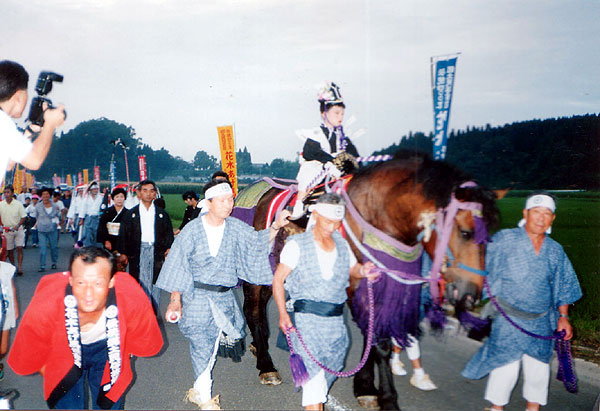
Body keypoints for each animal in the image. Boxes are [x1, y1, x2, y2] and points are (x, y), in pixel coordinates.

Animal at [232, 150, 500, 408]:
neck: (378, 216)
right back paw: (266, 366)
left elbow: (374, 338)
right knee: (253, 312)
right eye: (465, 232)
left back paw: (259, 348)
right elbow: (379, 342)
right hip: (254, 275)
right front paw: (385, 396)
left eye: (489, 237)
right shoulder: (358, 289)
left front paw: (365, 387)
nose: (469, 295)